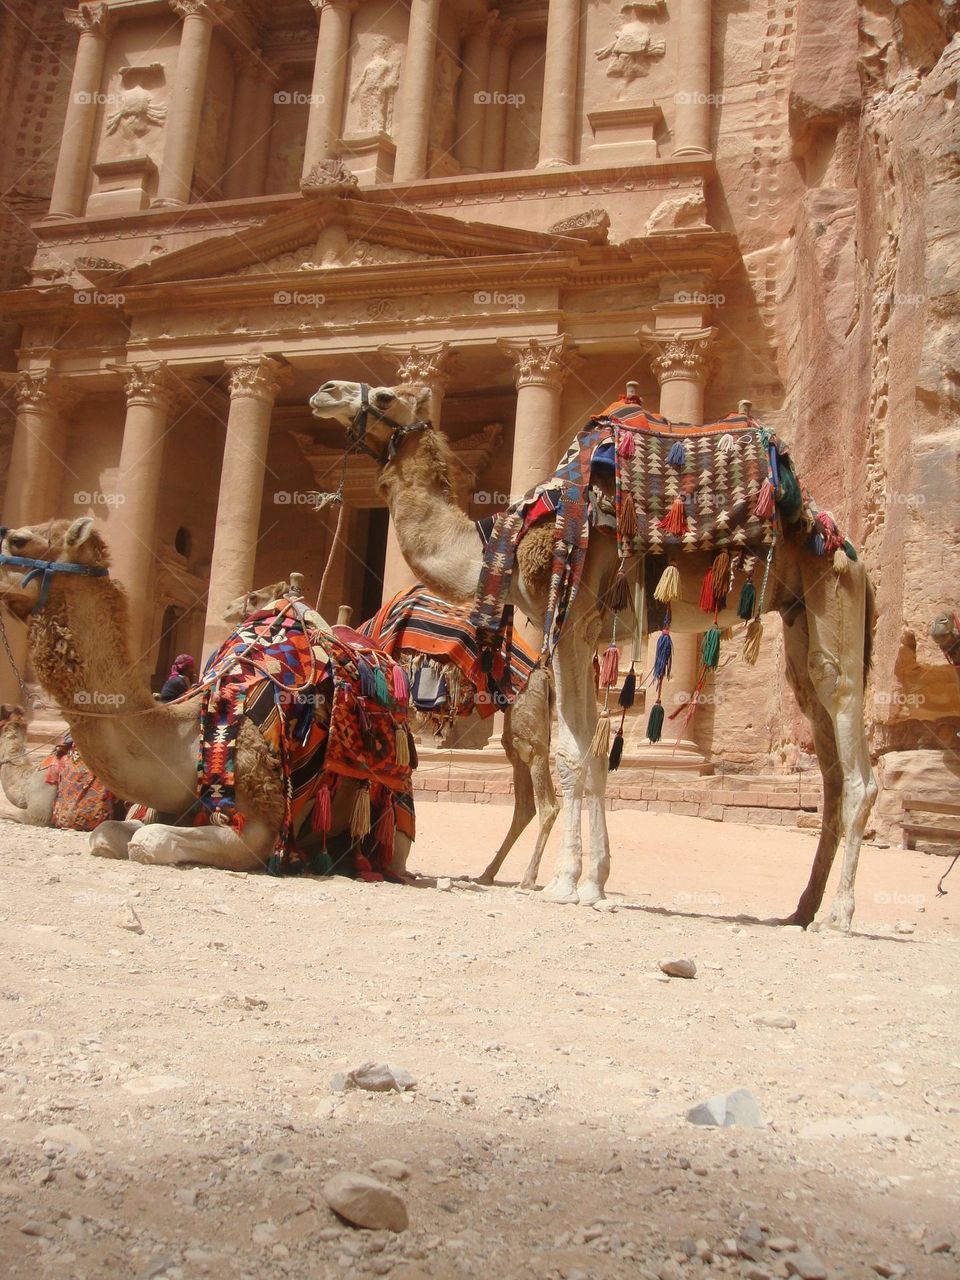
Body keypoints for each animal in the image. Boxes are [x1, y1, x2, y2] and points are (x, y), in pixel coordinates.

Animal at [0, 519, 412, 877]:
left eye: (17, 540)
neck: (188, 733)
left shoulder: (262, 823)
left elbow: (149, 841)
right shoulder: (170, 805)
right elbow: (105, 835)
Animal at [226, 579, 560, 888]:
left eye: (254, 596)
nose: (229, 608)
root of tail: (543, 673)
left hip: (525, 719)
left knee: (547, 803)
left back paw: (528, 879)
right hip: (518, 731)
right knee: (524, 804)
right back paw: (487, 874)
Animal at [309, 379, 878, 929]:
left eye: (386, 395)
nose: (325, 390)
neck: (498, 550)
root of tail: (851, 553)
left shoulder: (570, 618)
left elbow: (569, 755)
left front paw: (563, 884)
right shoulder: (582, 636)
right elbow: (593, 757)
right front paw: (593, 881)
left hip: (832, 595)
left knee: (853, 744)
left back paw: (840, 915)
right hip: (800, 615)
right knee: (824, 751)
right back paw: (801, 910)